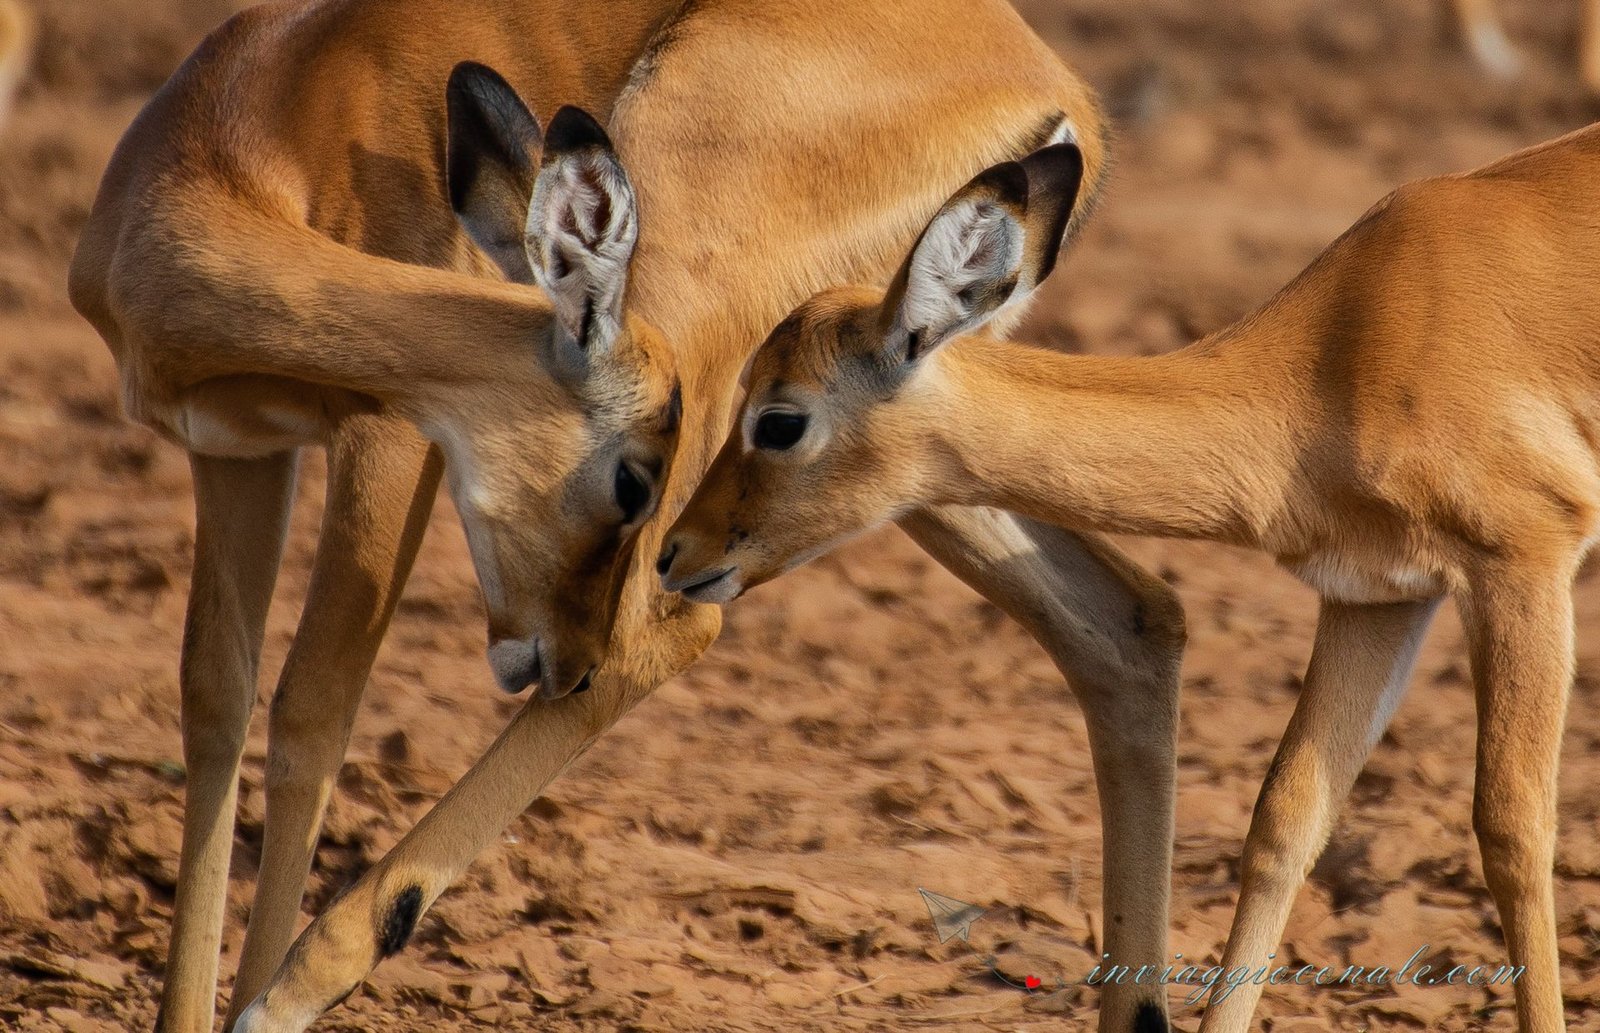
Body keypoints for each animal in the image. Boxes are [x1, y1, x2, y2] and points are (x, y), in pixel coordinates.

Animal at [68, 2, 1187, 1032]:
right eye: (630, 479)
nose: (558, 664)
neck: (253, 129)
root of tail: (1057, 94)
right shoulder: (236, 450)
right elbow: (216, 697)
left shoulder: (387, 433)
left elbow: (313, 706)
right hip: (903, 438)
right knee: (1129, 625)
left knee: (672, 622)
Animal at [661, 127, 1600, 1032]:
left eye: (780, 419)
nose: (675, 551)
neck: (1337, 361)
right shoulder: (1376, 595)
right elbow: (1286, 820)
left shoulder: (1521, 564)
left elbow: (1512, 829)